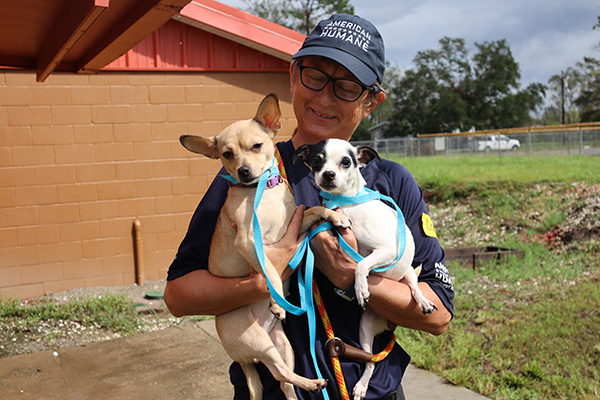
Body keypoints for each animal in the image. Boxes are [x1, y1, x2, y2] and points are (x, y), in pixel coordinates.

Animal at [292, 139, 436, 400]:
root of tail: (387, 323)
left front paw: (360, 288)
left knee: (413, 286)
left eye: (346, 162)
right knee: (370, 361)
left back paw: (422, 301)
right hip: (365, 329)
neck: (347, 202)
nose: (328, 174)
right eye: (317, 160)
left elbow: (360, 264)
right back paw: (360, 385)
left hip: (407, 273)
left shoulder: (386, 251)